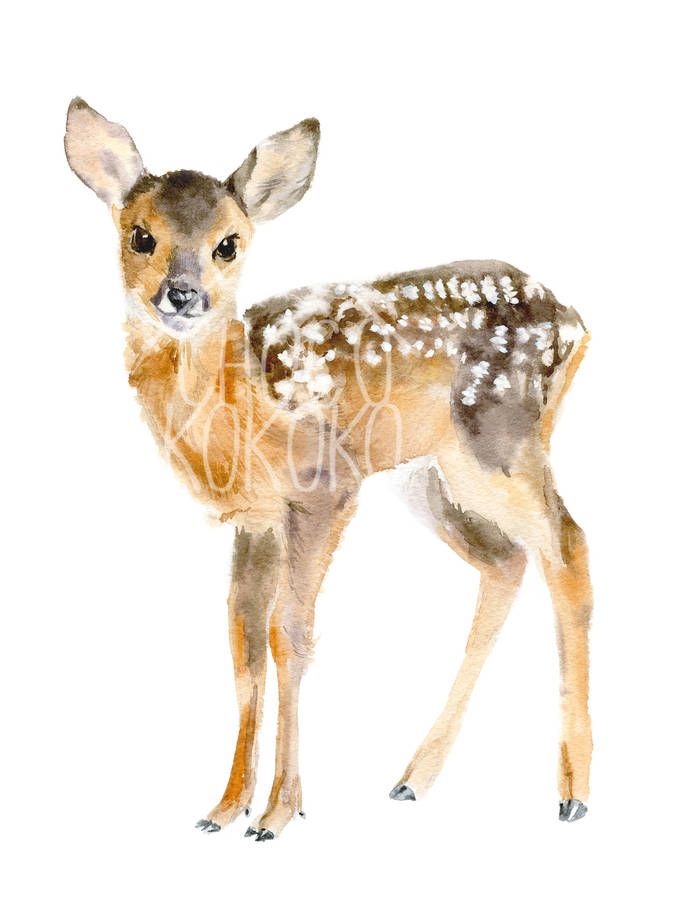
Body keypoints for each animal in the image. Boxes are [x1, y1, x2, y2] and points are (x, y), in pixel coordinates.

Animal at [64, 98, 593, 841]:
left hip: (499, 440)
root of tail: (576, 322)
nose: (182, 294)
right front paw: (223, 808)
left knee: (567, 546)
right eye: (141, 236)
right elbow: (243, 644)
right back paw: (412, 778)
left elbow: (290, 635)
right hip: (431, 476)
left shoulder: (323, 488)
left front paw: (278, 813)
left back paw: (572, 793)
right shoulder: (256, 519)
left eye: (229, 243)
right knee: (507, 561)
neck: (240, 401)